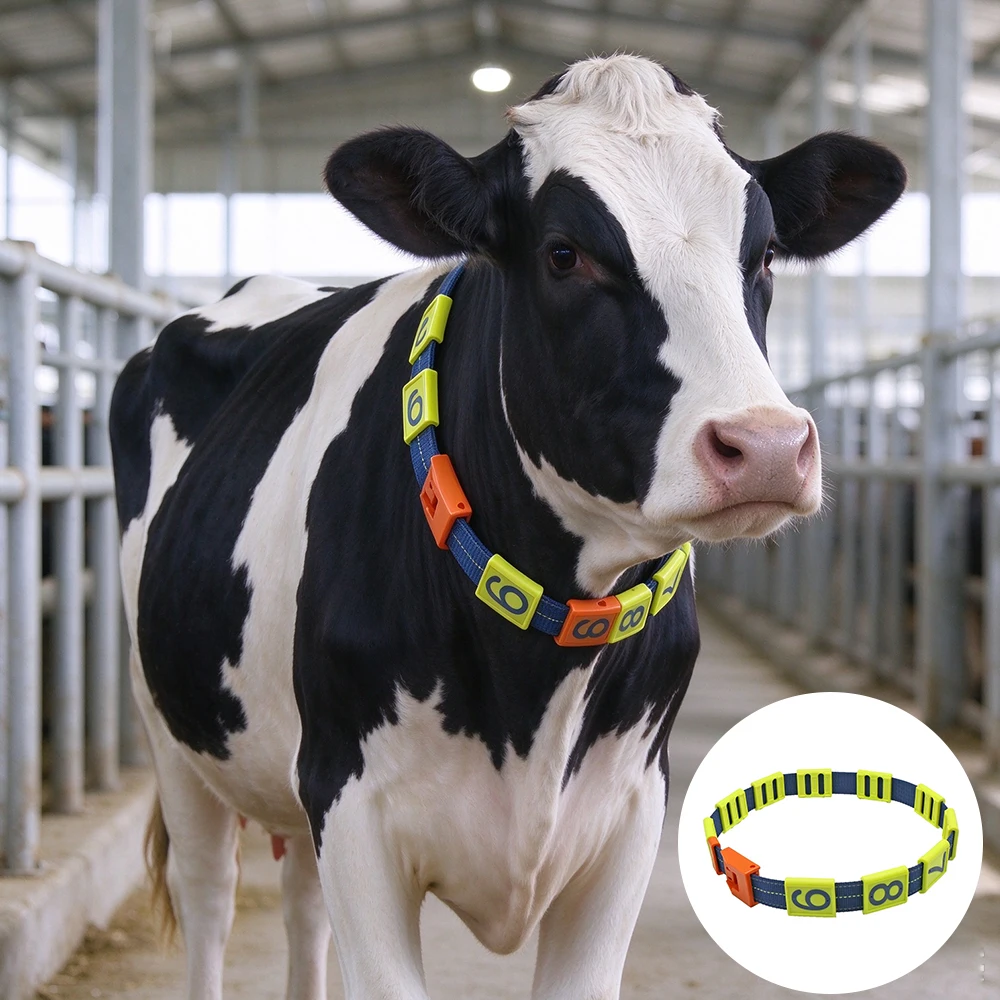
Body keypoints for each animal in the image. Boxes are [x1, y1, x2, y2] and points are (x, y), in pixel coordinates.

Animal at [110, 54, 904, 1000]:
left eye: (767, 251)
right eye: (565, 253)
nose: (769, 447)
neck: (539, 675)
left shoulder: (630, 812)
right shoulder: (354, 804)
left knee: (302, 905)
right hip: (170, 724)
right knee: (210, 895)